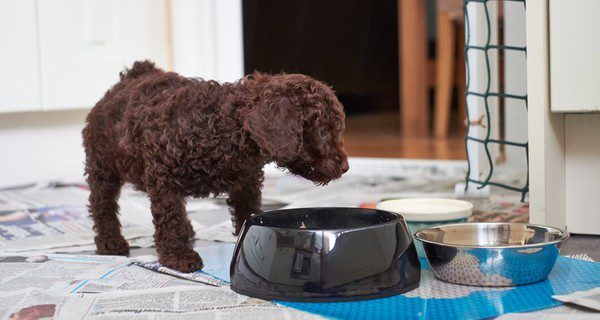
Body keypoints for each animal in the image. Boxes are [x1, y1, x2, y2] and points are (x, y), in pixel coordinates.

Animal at [82, 60, 350, 272]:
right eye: (324, 131)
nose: (346, 166)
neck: (225, 127)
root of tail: (129, 78)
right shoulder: (163, 177)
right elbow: (170, 217)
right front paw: (177, 256)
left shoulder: (246, 182)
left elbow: (246, 211)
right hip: (102, 165)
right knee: (102, 204)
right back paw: (109, 241)